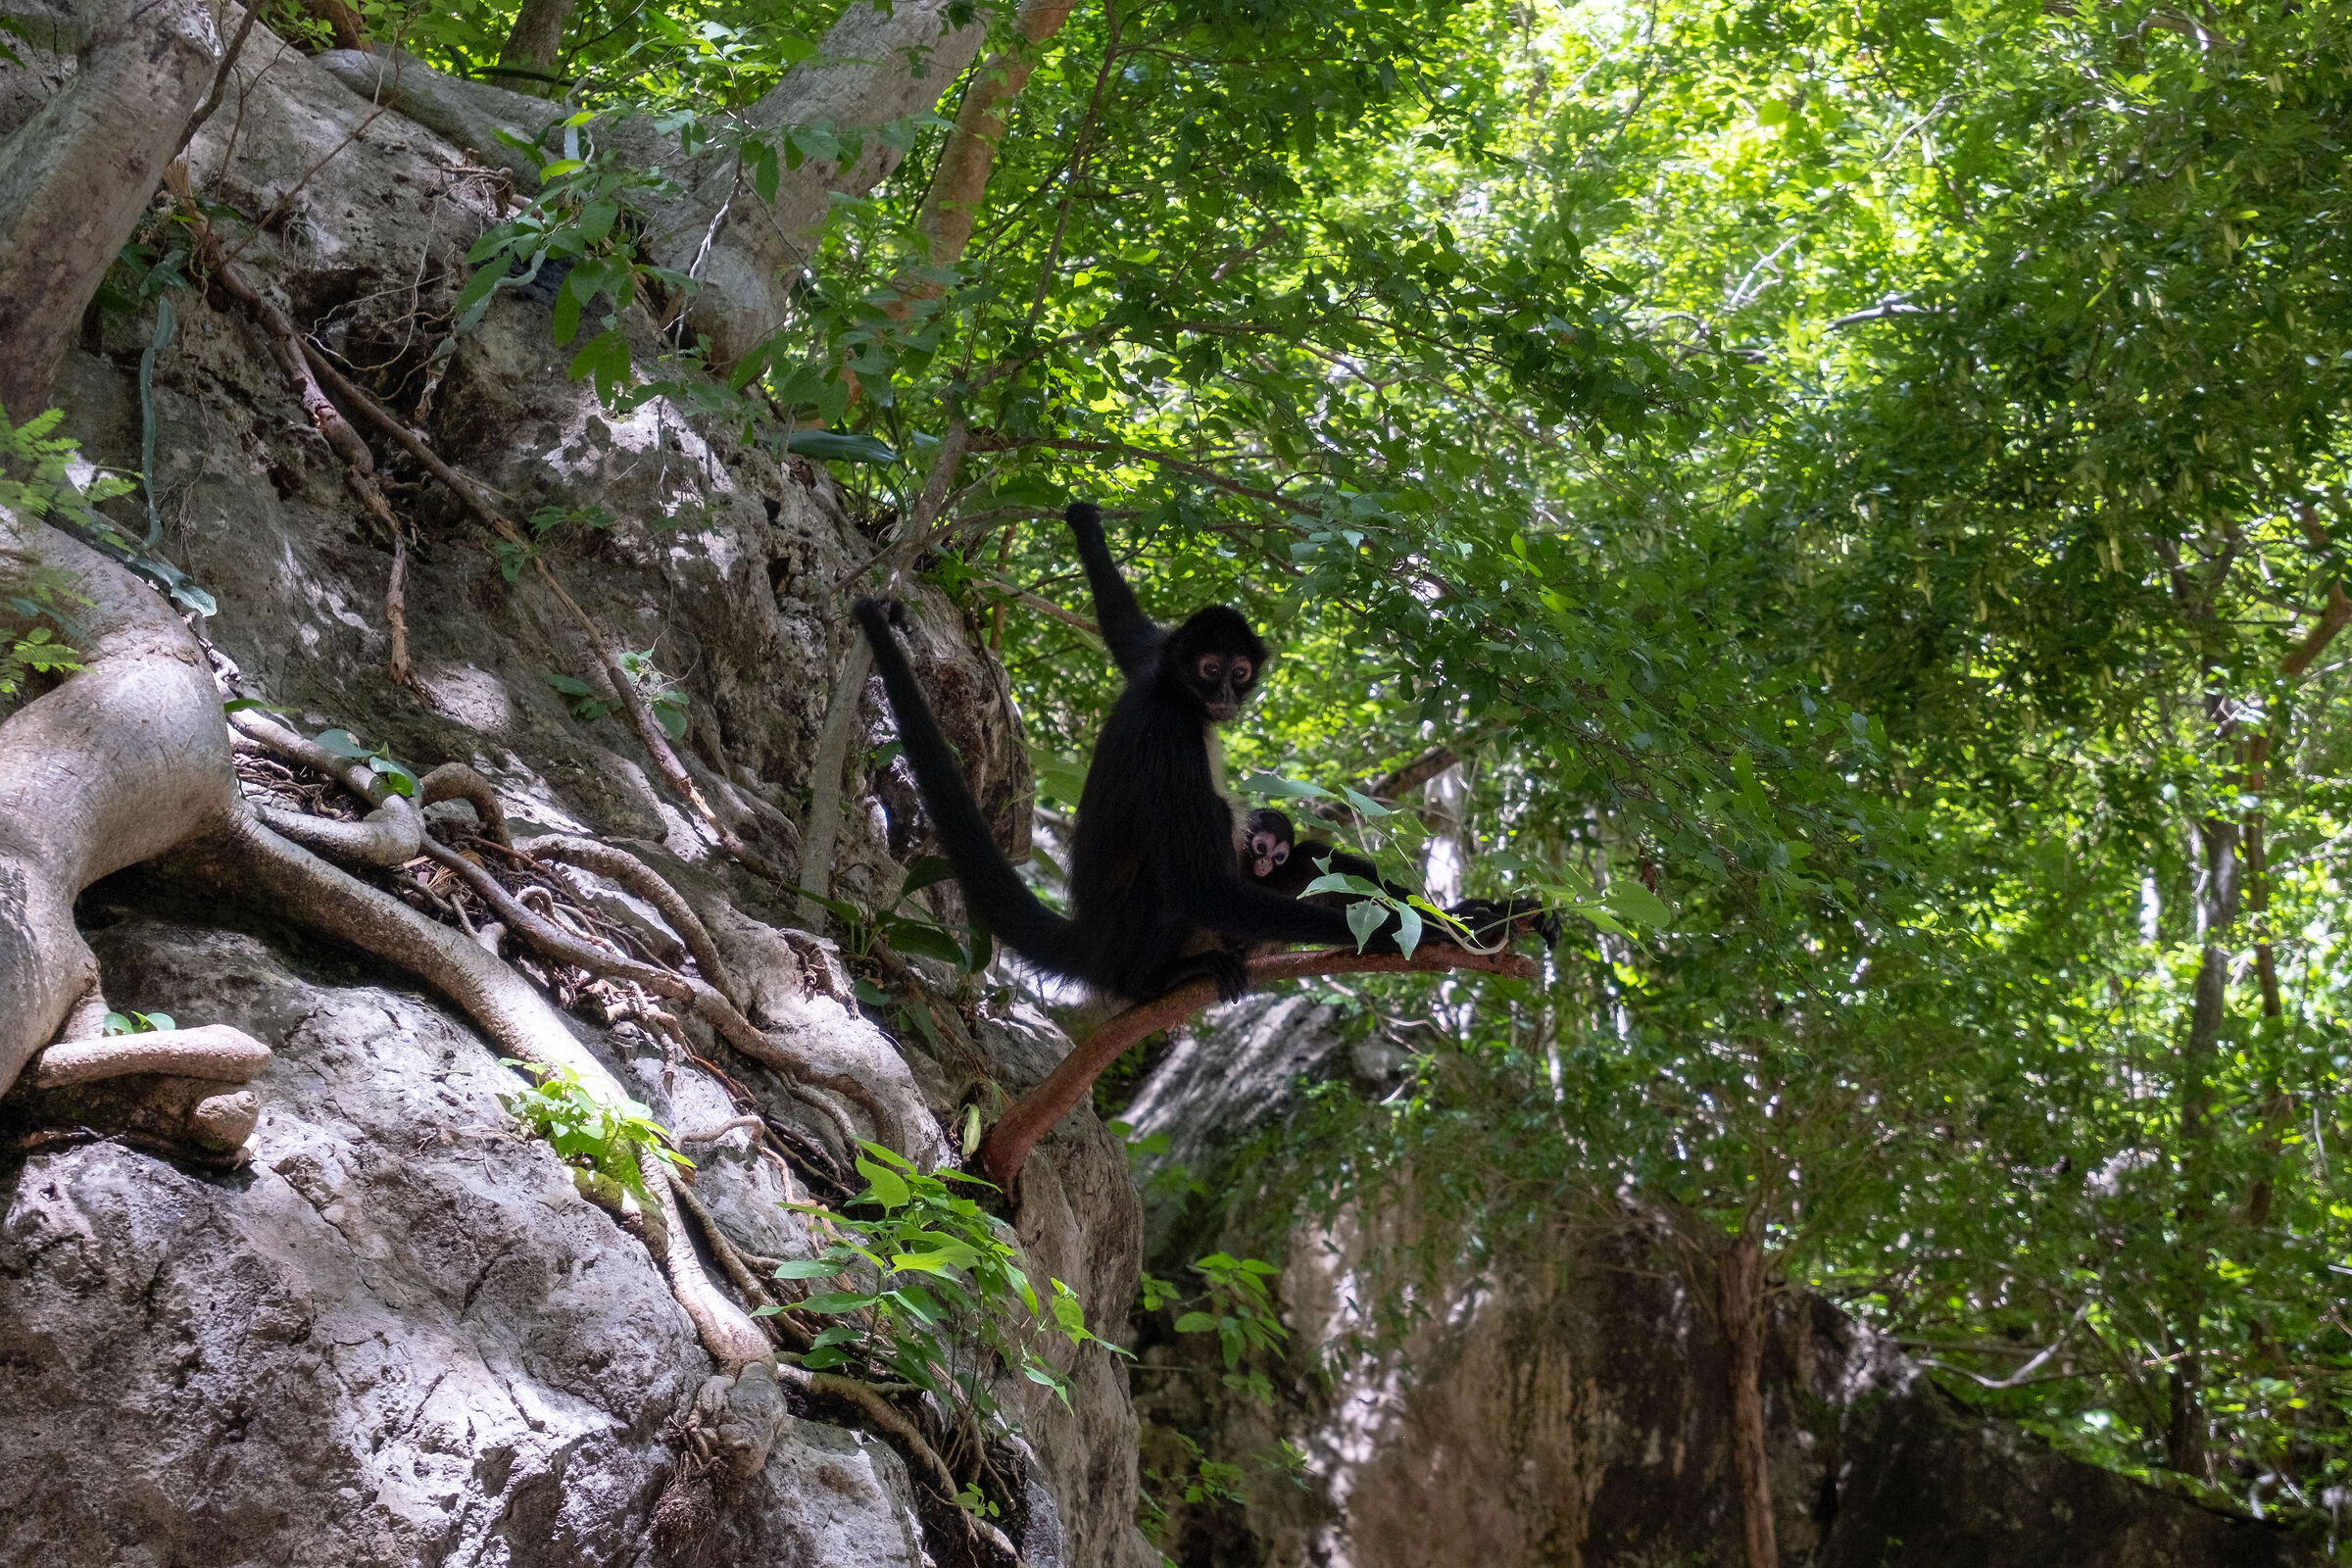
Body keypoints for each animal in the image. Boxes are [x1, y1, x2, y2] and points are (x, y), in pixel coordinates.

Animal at [851, 502, 1443, 1006]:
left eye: (1239, 672)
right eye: (1209, 668)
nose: (1224, 694)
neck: (1175, 695)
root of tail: (1095, 945)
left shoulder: (1151, 661)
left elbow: (1126, 632)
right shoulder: (1169, 736)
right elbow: (1198, 886)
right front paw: (1400, 932)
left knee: (1303, 857)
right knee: (1205, 834)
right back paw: (1151, 982)